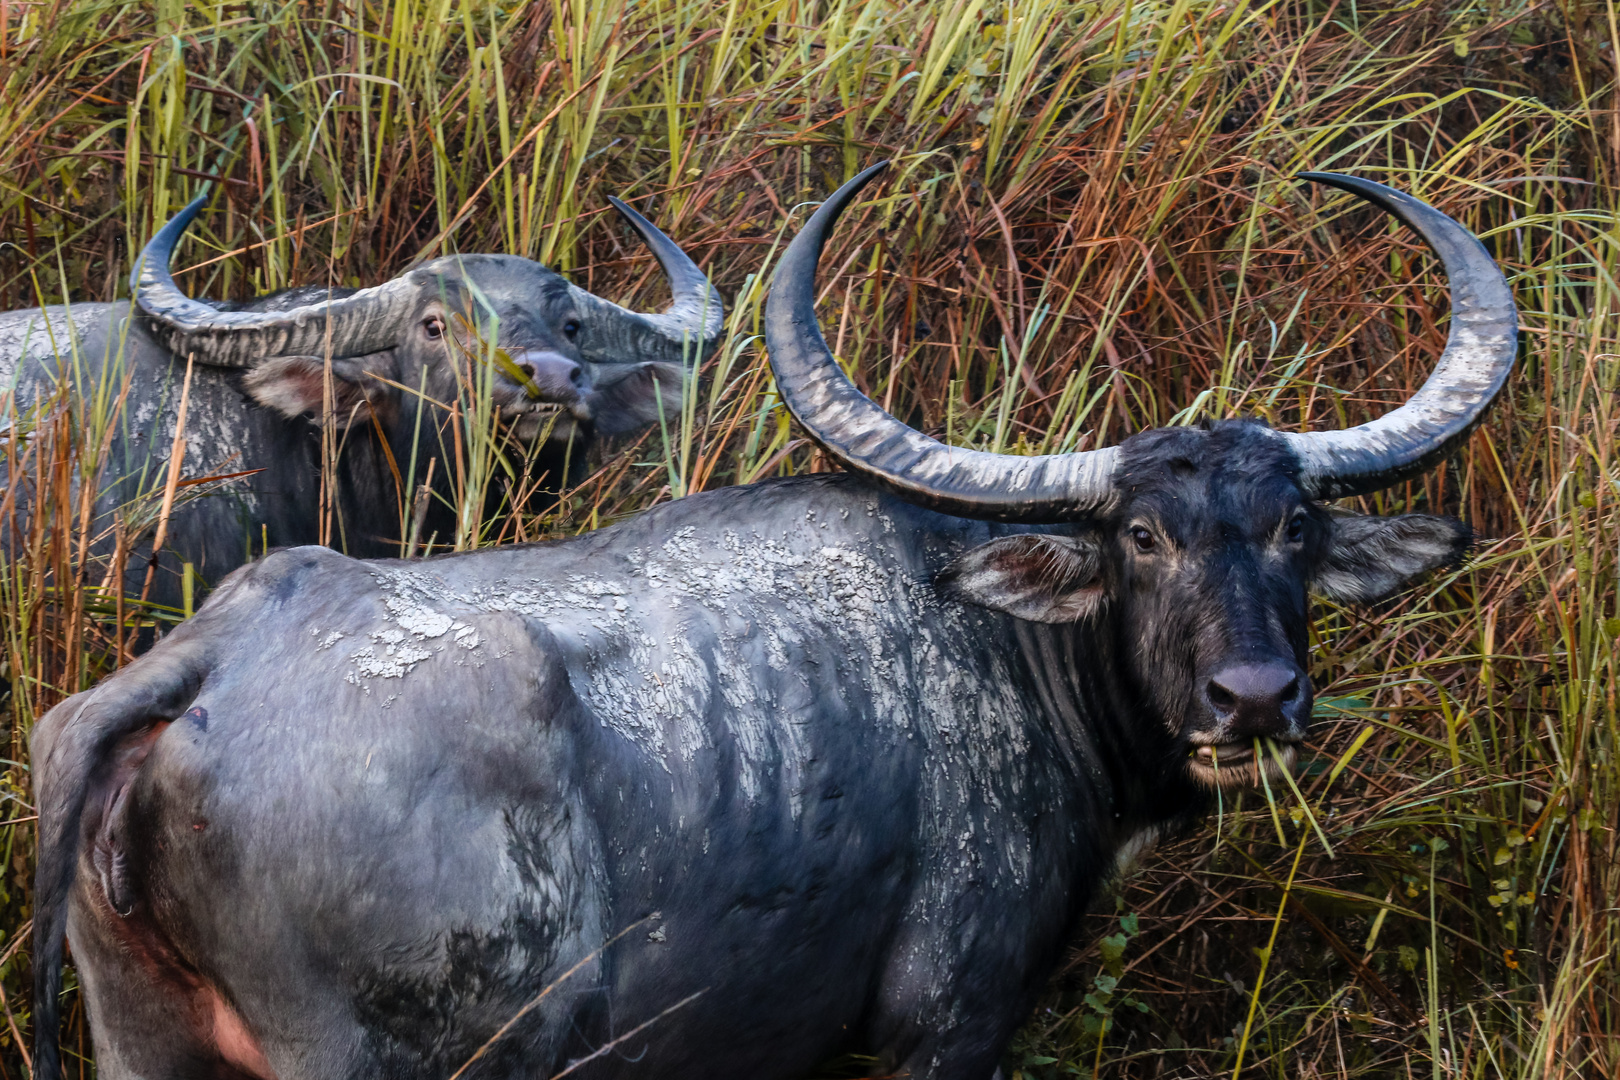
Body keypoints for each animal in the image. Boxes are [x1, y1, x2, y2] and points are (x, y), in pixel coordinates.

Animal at [31, 162, 1509, 1080]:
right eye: (1143, 538)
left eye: (1296, 529)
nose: (1254, 698)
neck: (996, 641)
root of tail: (218, 663)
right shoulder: (945, 1029)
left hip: (141, 1040)